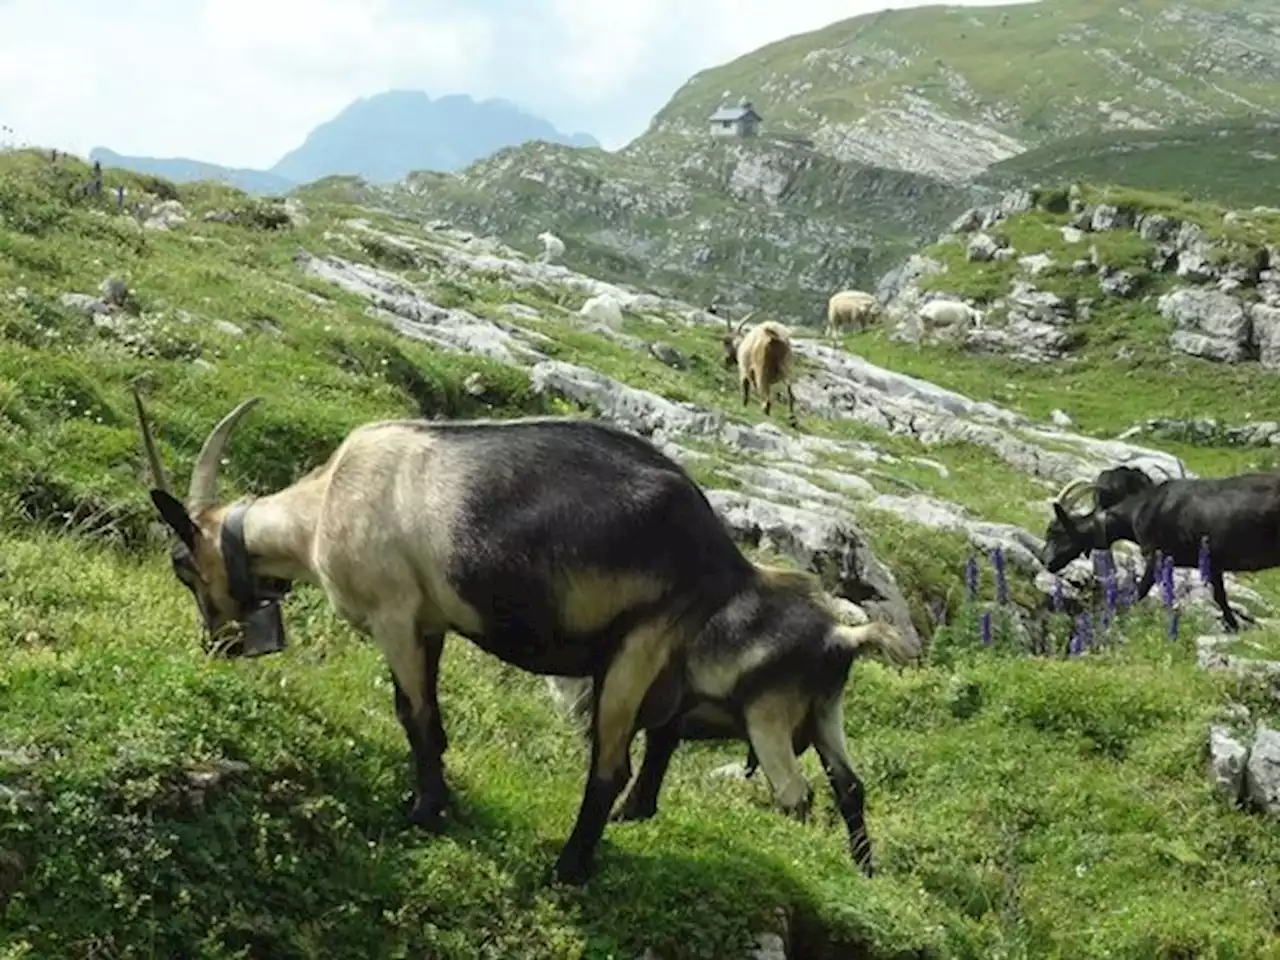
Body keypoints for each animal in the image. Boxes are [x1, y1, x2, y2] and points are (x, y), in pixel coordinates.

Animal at [132, 389, 921, 885]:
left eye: (183, 566)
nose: (218, 644)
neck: (325, 504)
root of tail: (719, 551)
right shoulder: (430, 623)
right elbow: (436, 721)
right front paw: (441, 800)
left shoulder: (394, 614)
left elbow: (411, 714)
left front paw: (422, 812)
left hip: (641, 648)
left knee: (612, 767)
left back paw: (568, 870)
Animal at [1039, 471, 1280, 634]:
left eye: (1056, 532)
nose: (1045, 561)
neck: (1142, 509)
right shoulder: (1212, 562)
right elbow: (1219, 595)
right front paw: (1234, 626)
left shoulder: (1157, 555)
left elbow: (1140, 590)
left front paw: (1116, 619)